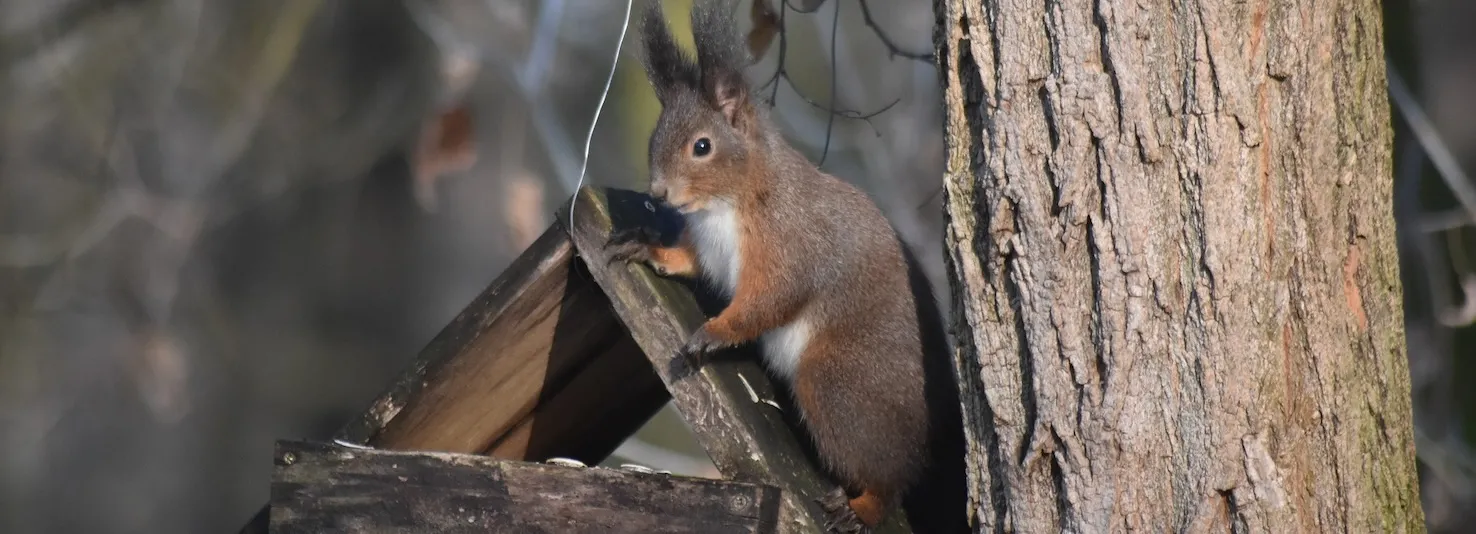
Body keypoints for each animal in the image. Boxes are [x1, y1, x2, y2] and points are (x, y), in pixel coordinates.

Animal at [608, 2, 968, 531]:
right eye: (655, 138)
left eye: (702, 146)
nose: (659, 193)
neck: (728, 203)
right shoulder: (708, 250)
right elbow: (688, 262)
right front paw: (649, 249)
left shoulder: (789, 244)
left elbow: (770, 301)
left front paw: (713, 332)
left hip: (837, 383)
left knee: (890, 481)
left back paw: (861, 506)